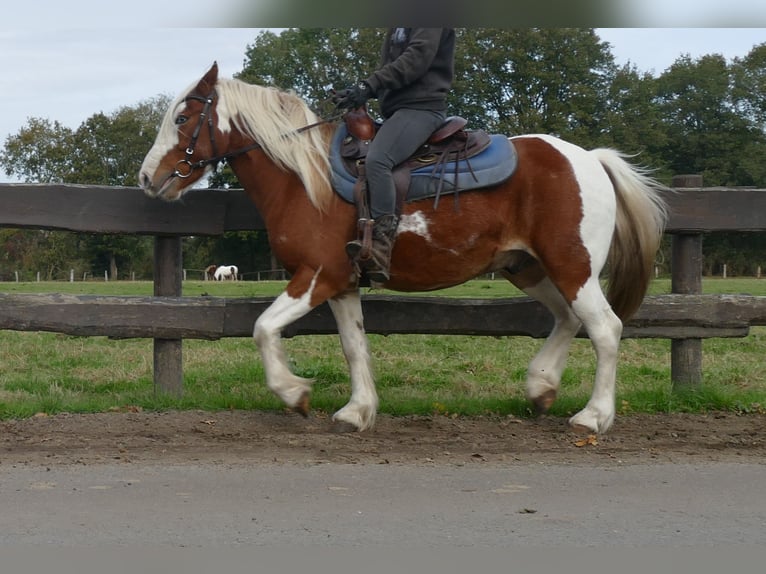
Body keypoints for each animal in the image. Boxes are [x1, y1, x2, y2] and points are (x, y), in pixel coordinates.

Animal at [141, 64, 668, 436]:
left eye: (183, 117)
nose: (147, 178)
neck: (305, 180)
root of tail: (590, 159)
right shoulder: (342, 283)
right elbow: (354, 346)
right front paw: (357, 411)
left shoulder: (317, 274)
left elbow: (263, 328)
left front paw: (294, 394)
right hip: (528, 268)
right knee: (568, 318)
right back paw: (541, 386)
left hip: (572, 266)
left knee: (605, 328)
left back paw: (593, 416)